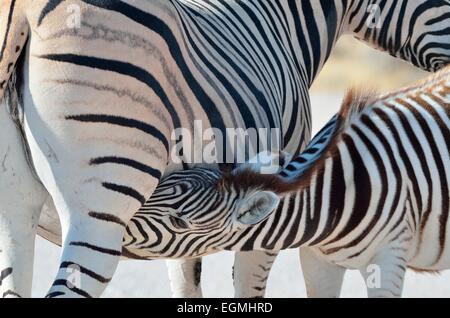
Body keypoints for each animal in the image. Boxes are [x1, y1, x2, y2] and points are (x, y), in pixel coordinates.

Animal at [0, 0, 448, 298]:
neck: (282, 26)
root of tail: (23, 9)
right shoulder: (274, 211)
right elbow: (248, 287)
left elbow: (186, 283)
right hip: (101, 210)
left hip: (15, 214)